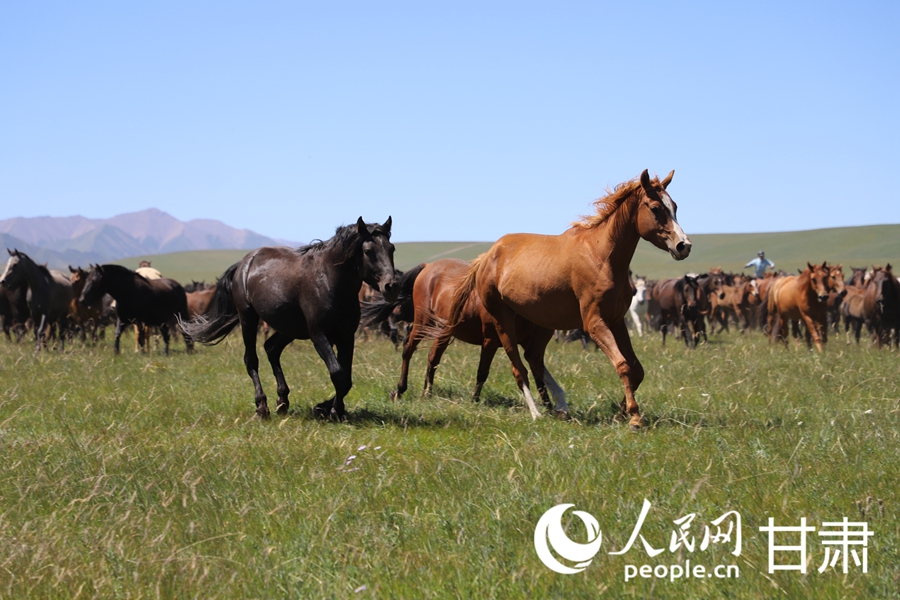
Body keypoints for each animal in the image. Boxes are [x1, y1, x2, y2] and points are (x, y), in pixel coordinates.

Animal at [181, 218, 399, 420]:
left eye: (392, 249)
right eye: (368, 251)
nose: (391, 286)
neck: (330, 282)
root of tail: (244, 264)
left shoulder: (346, 336)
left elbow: (346, 378)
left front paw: (328, 408)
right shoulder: (319, 335)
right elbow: (338, 374)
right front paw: (332, 410)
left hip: (288, 328)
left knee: (271, 348)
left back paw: (282, 401)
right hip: (248, 319)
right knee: (251, 360)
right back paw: (262, 407)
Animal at [363, 258, 565, 412]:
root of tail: (427, 266)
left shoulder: (529, 344)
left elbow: (538, 373)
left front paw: (548, 405)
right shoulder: (490, 340)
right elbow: (483, 372)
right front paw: (474, 400)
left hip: (443, 330)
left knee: (432, 358)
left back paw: (426, 392)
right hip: (422, 323)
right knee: (408, 349)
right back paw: (400, 390)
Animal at [444, 170, 691, 427]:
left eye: (674, 206)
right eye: (655, 208)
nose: (683, 245)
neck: (602, 256)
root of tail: (487, 256)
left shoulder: (616, 321)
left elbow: (636, 368)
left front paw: (622, 411)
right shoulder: (594, 323)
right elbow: (622, 365)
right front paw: (634, 416)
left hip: (541, 323)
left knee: (534, 358)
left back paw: (560, 405)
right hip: (503, 321)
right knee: (519, 368)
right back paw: (536, 412)